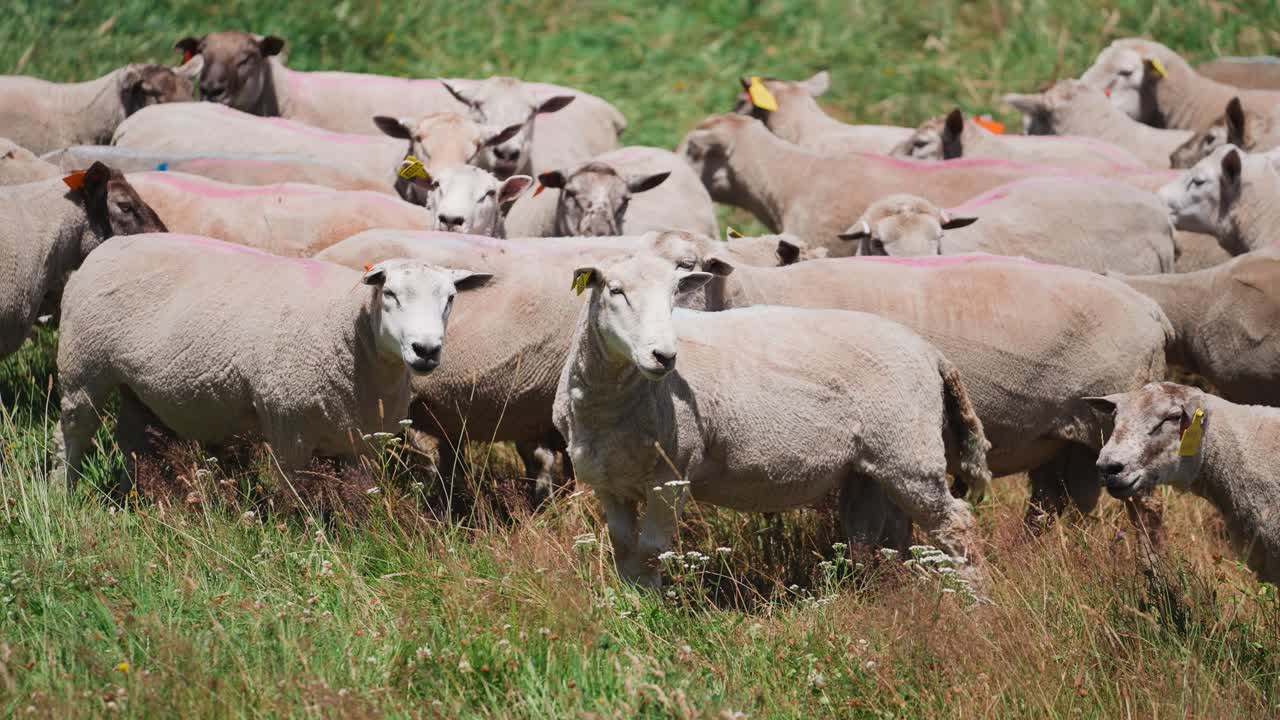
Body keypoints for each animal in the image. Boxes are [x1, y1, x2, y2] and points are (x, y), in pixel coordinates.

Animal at [56, 233, 491, 481]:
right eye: (390, 294)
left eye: (451, 298)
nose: (426, 350)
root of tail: (105, 247)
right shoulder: (286, 425)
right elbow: (292, 497)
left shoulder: (363, 441)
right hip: (82, 366)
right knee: (72, 436)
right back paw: (63, 494)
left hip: (132, 385)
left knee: (131, 440)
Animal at [552, 253, 990, 587]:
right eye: (616, 291)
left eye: (675, 294)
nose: (664, 356)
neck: (611, 408)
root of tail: (930, 352)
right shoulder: (608, 483)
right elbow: (624, 547)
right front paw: (631, 603)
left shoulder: (671, 477)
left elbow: (650, 549)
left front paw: (653, 607)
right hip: (870, 466)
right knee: (874, 535)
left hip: (910, 454)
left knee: (956, 525)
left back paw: (974, 600)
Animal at [684, 252, 1172, 535]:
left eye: (687, 269)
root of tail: (1152, 310)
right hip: (1063, 442)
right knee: (1051, 504)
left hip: (1125, 432)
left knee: (1146, 508)